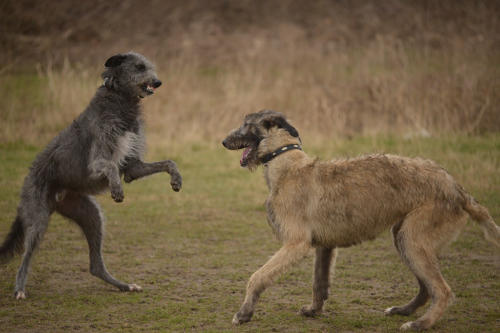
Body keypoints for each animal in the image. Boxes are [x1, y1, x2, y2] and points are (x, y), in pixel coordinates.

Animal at [0, 52, 184, 298]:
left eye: (150, 67)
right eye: (139, 66)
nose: (158, 82)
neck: (121, 102)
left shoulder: (133, 166)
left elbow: (167, 162)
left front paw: (176, 180)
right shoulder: (97, 159)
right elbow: (111, 167)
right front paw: (116, 190)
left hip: (90, 215)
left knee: (95, 265)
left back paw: (124, 285)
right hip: (37, 216)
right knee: (26, 255)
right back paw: (19, 289)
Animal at [223, 109, 500, 330]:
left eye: (247, 124)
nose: (224, 141)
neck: (287, 163)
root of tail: (457, 188)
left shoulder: (295, 244)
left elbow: (257, 277)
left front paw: (244, 313)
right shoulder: (325, 246)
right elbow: (319, 283)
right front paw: (314, 310)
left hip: (413, 239)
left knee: (442, 291)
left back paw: (420, 324)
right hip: (406, 238)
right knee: (426, 289)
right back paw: (404, 311)